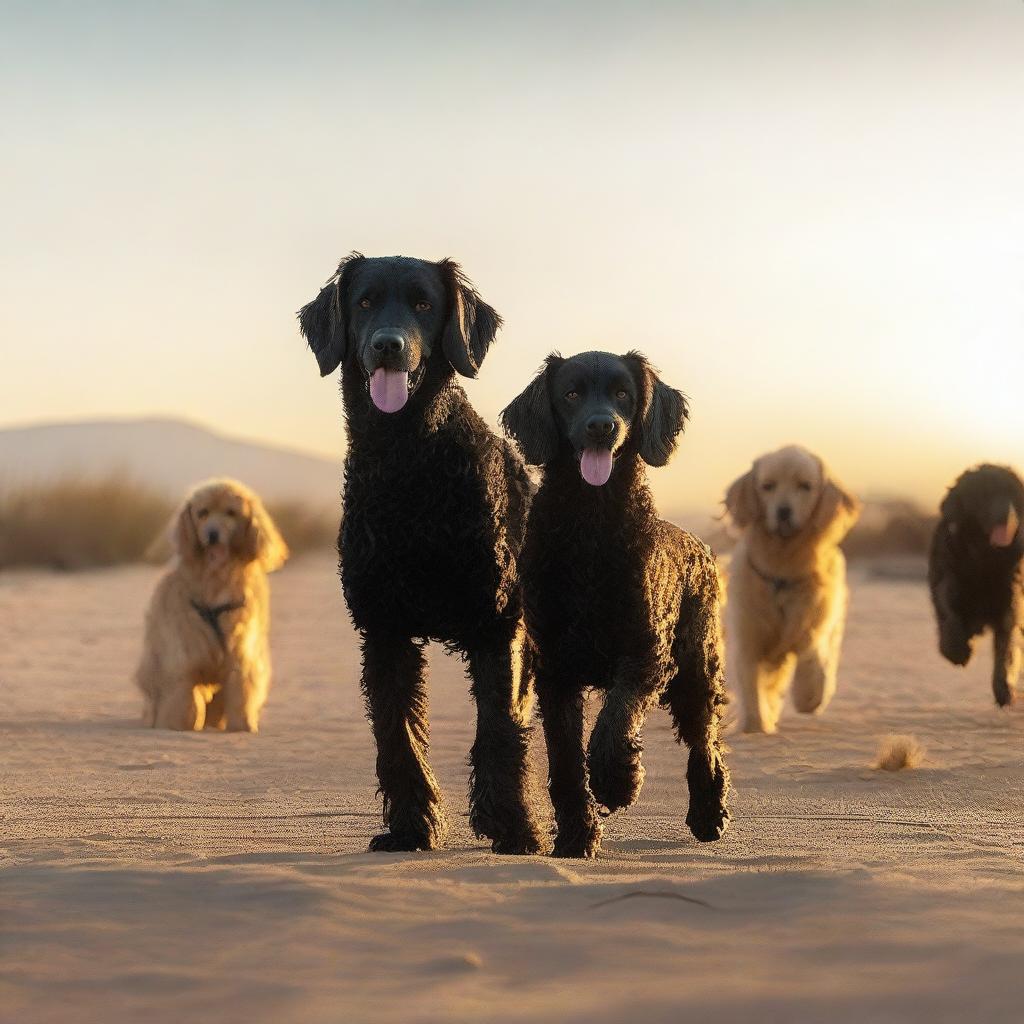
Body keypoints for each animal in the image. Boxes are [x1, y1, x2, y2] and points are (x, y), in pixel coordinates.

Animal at [299, 256, 544, 856]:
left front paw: (512, 826)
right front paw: (411, 827)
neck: (408, 463)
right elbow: (397, 734)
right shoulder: (383, 628)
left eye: (424, 304)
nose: (388, 345)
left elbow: (500, 728)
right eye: (364, 301)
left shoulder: (496, 624)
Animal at [501, 350, 729, 856]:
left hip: (696, 668)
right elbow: (566, 760)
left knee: (705, 742)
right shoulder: (555, 669)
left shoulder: (645, 653)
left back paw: (708, 814)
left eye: (623, 393)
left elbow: (614, 719)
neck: (591, 527)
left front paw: (617, 781)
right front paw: (576, 836)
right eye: (571, 393)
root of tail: (702, 546)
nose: (601, 426)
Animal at [933, 462, 1019, 704]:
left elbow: (1005, 648)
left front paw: (1004, 688)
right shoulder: (950, 581)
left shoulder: (1009, 603)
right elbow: (950, 615)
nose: (1006, 513)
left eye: (1012, 493)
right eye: (984, 494)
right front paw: (956, 651)